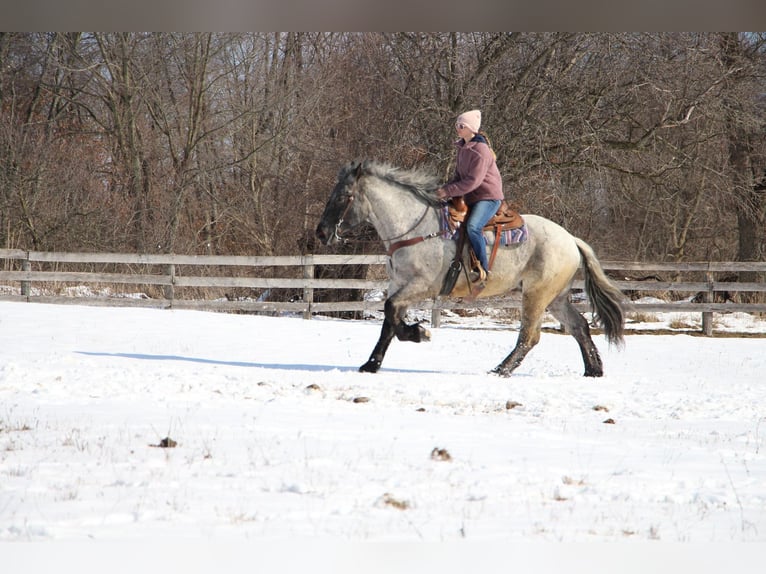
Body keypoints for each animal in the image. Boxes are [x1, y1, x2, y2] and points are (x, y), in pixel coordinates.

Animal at [316, 160, 628, 380]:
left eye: (344, 196)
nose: (321, 233)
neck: (416, 229)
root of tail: (571, 240)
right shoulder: (400, 286)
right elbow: (389, 323)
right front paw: (371, 364)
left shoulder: (421, 286)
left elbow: (392, 313)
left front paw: (420, 333)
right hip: (557, 298)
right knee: (579, 326)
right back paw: (593, 370)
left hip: (537, 296)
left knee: (530, 336)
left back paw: (501, 370)